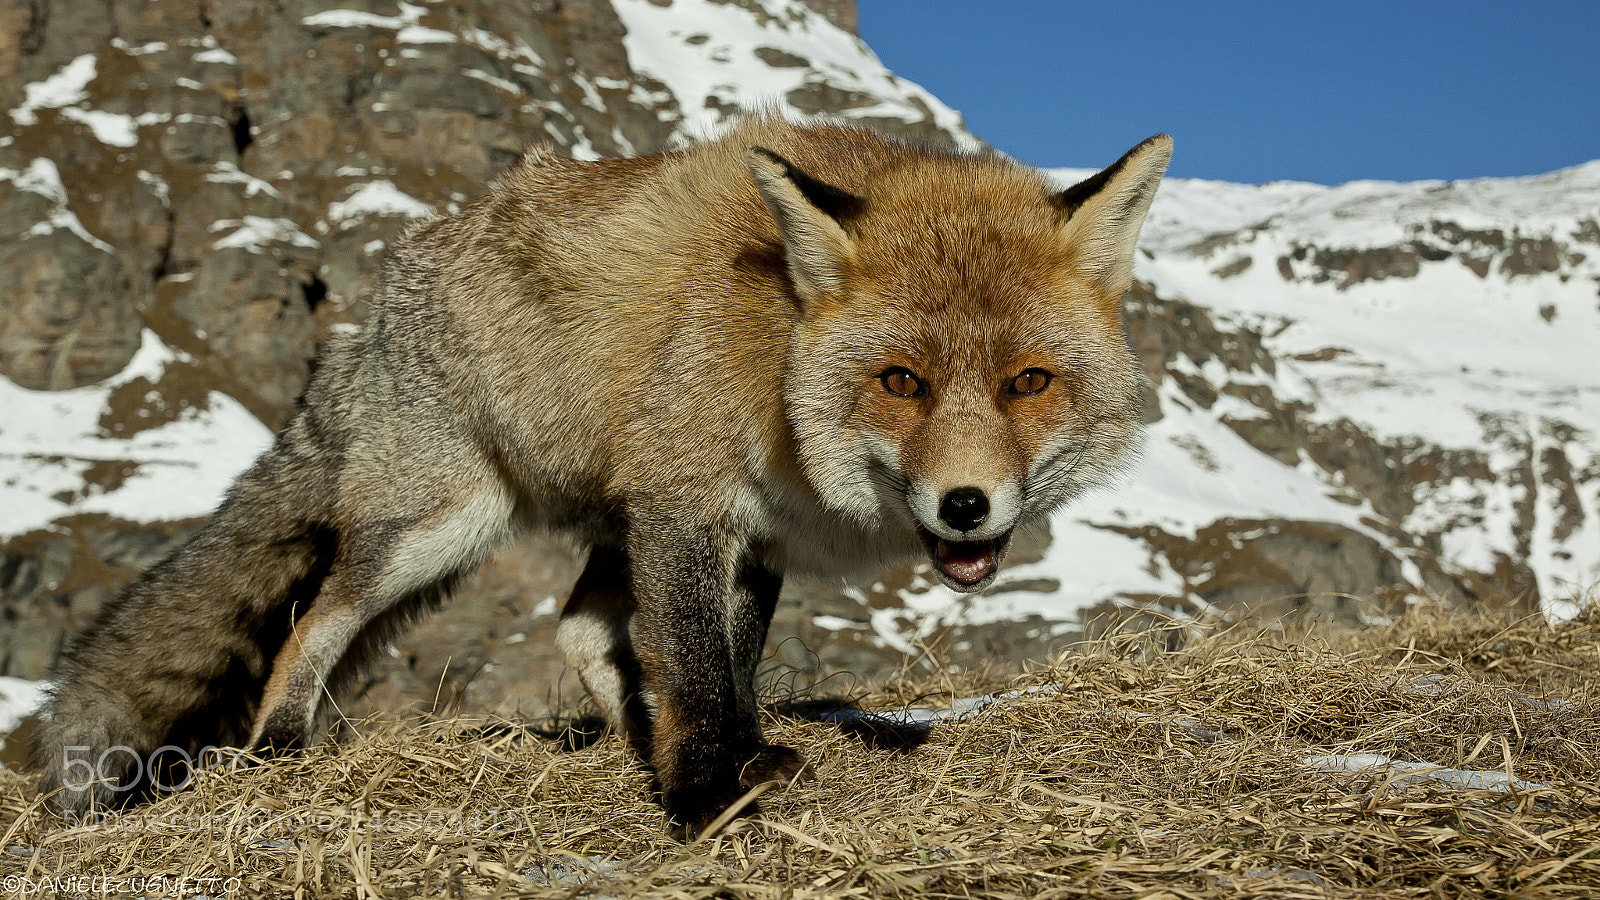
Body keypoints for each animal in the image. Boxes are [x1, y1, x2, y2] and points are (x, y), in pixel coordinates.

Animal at [33, 116, 1170, 837]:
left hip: (575, 530)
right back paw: (275, 750)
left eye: (1028, 382)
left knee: (578, 628)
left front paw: (726, 756)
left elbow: (726, 663)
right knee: (313, 620)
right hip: (438, 529)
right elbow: (700, 668)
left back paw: (628, 731)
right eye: (902, 381)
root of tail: (384, 297)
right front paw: (709, 799)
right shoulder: (682, 500)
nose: (966, 506)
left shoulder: (752, 532)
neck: (776, 357)